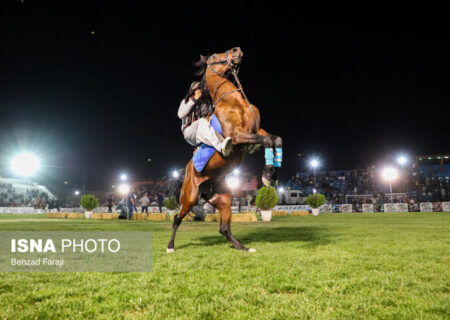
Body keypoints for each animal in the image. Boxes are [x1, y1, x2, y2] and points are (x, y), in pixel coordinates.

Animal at [167, 47, 284, 252]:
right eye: (214, 56)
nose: (236, 50)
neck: (233, 100)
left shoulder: (256, 129)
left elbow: (275, 139)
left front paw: (271, 174)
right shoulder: (237, 136)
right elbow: (267, 141)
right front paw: (268, 175)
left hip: (224, 199)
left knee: (224, 228)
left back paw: (244, 248)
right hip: (189, 197)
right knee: (176, 218)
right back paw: (170, 246)